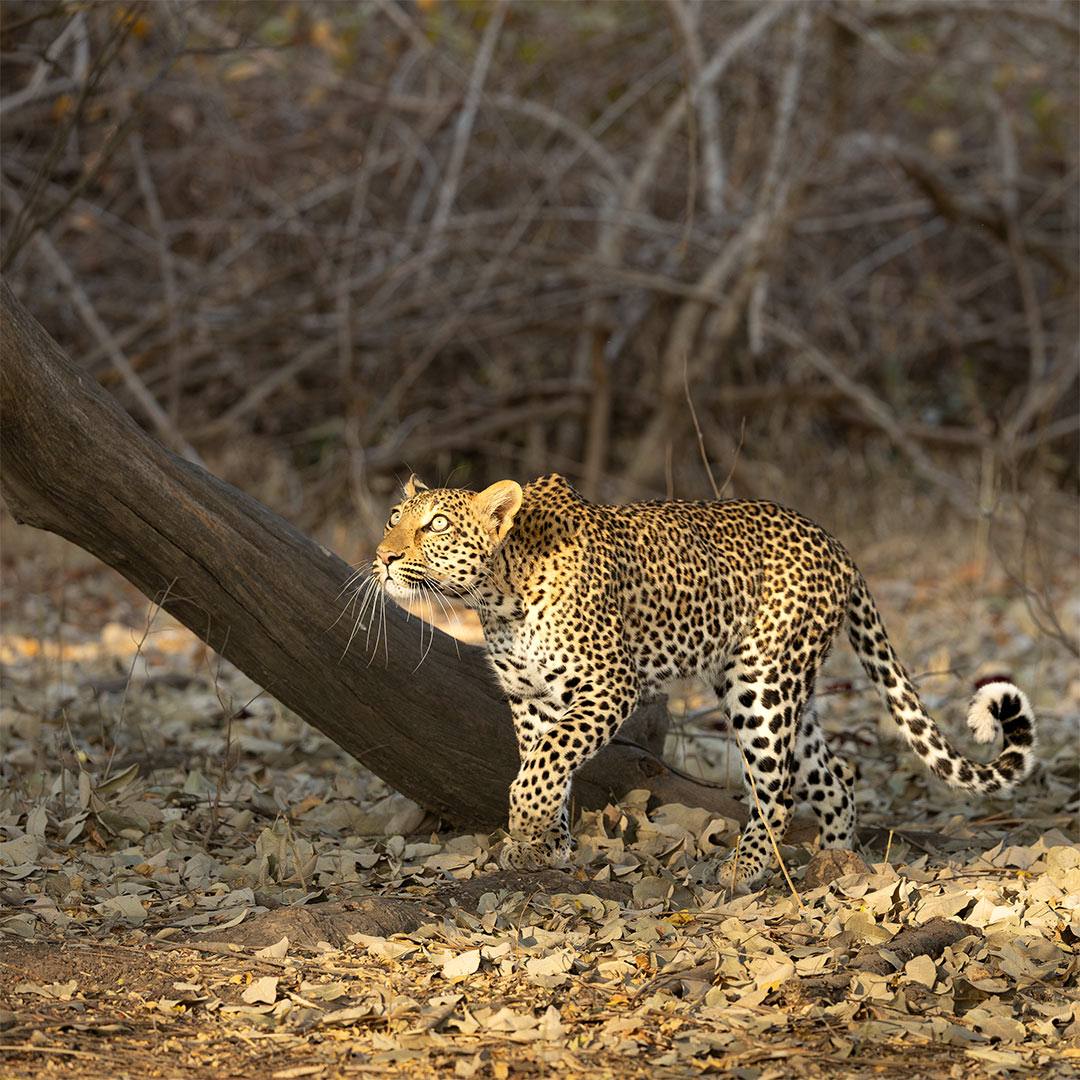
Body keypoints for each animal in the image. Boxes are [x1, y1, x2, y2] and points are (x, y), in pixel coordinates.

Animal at [369, 472, 1037, 893]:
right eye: (393, 520)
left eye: (434, 527)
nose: (382, 557)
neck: (496, 592)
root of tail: (835, 542)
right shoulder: (530, 699)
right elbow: (545, 764)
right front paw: (544, 845)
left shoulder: (608, 685)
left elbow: (542, 768)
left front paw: (526, 827)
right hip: (786, 690)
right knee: (837, 777)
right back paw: (837, 863)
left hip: (760, 686)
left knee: (778, 786)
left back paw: (747, 870)